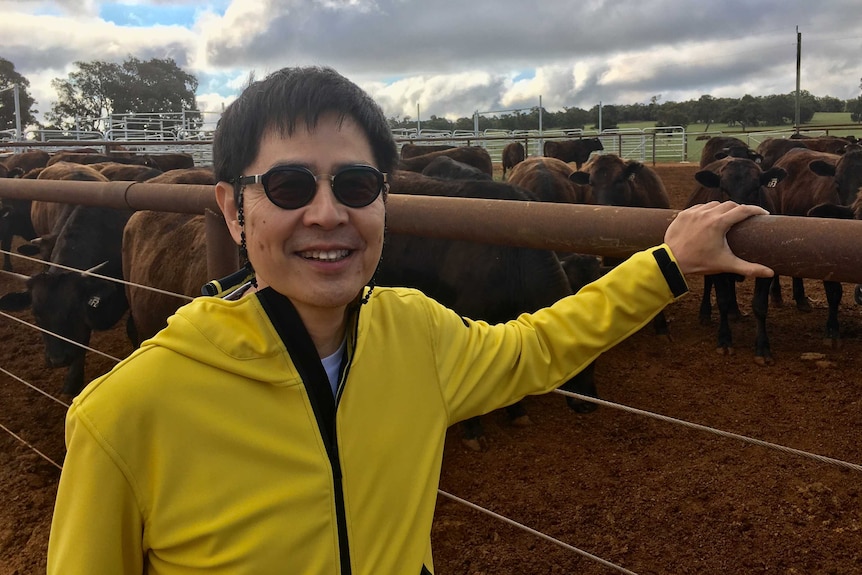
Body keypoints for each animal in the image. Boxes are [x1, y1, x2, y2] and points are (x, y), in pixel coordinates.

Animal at [688, 158, 788, 364]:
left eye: (756, 188)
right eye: (722, 188)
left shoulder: (767, 267)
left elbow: (760, 305)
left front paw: (763, 347)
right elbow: (722, 299)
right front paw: (724, 340)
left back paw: (735, 311)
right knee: (709, 283)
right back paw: (705, 313)